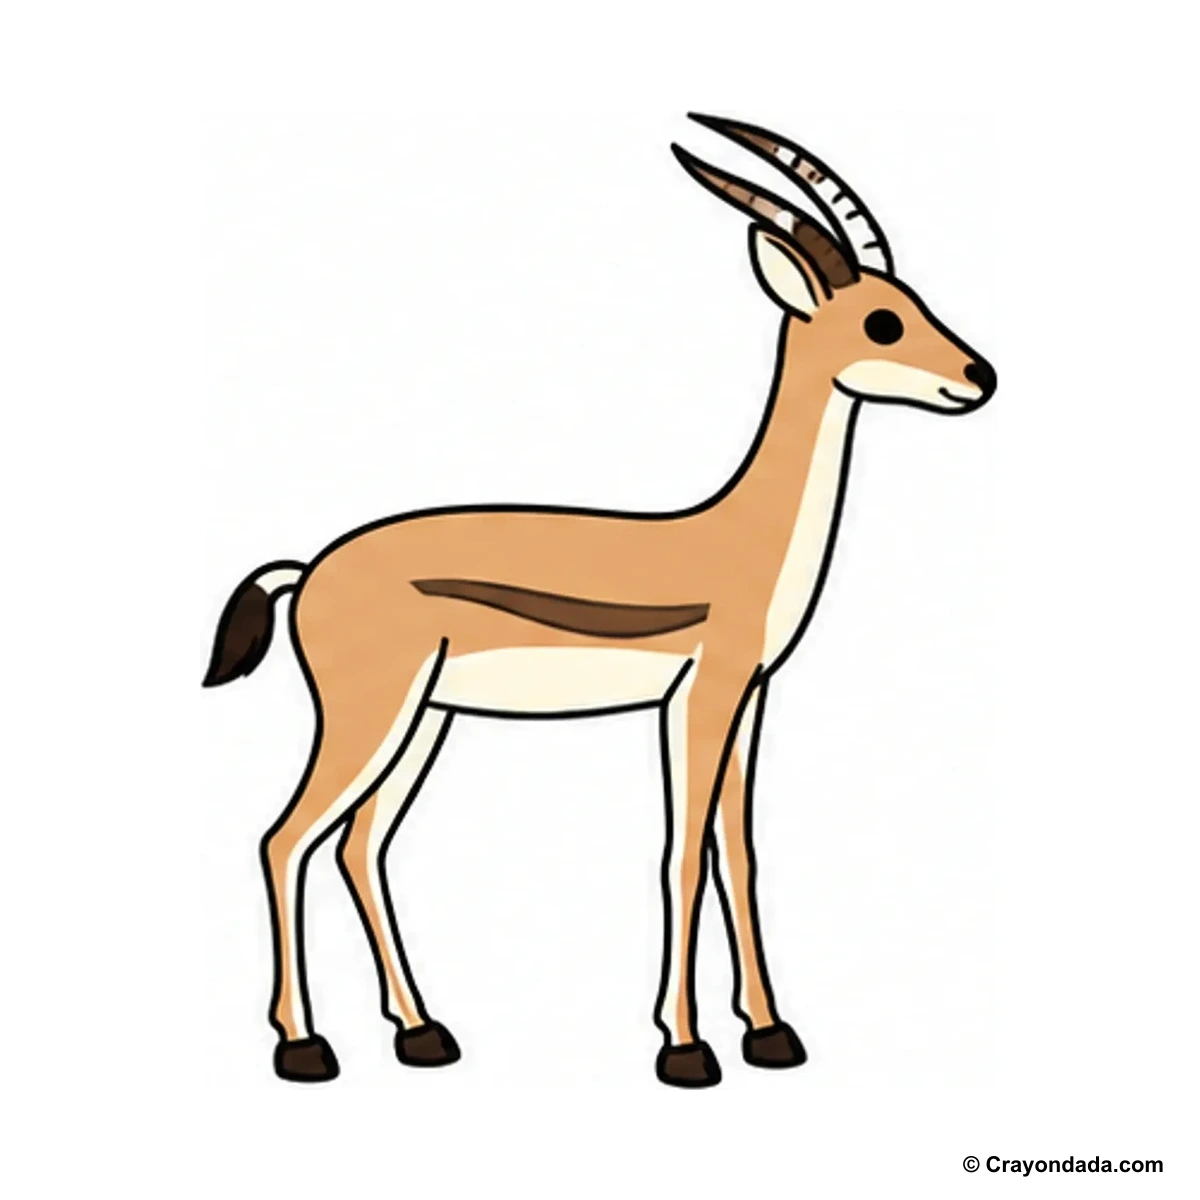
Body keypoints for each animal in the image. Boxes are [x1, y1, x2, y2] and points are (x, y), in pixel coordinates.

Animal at [205, 114, 996, 1088]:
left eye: (913, 300)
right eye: (881, 319)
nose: (981, 377)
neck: (737, 536)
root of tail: (309, 568)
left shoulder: (750, 699)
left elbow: (739, 855)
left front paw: (771, 1033)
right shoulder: (699, 697)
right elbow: (682, 855)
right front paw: (686, 1048)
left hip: (424, 721)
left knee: (359, 845)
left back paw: (422, 1033)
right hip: (369, 717)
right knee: (285, 840)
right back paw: (304, 1048)